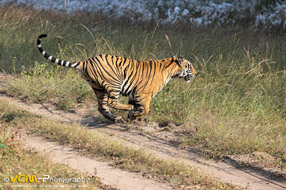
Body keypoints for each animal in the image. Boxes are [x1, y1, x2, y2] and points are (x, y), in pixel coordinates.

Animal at [36, 34, 197, 121]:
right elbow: (145, 109)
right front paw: (132, 113)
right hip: (115, 83)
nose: (196, 73)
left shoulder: (134, 94)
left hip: (98, 87)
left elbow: (139, 109)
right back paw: (122, 111)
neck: (170, 70)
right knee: (111, 102)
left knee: (102, 106)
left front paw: (131, 116)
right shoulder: (144, 94)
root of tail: (86, 61)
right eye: (190, 66)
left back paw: (112, 118)